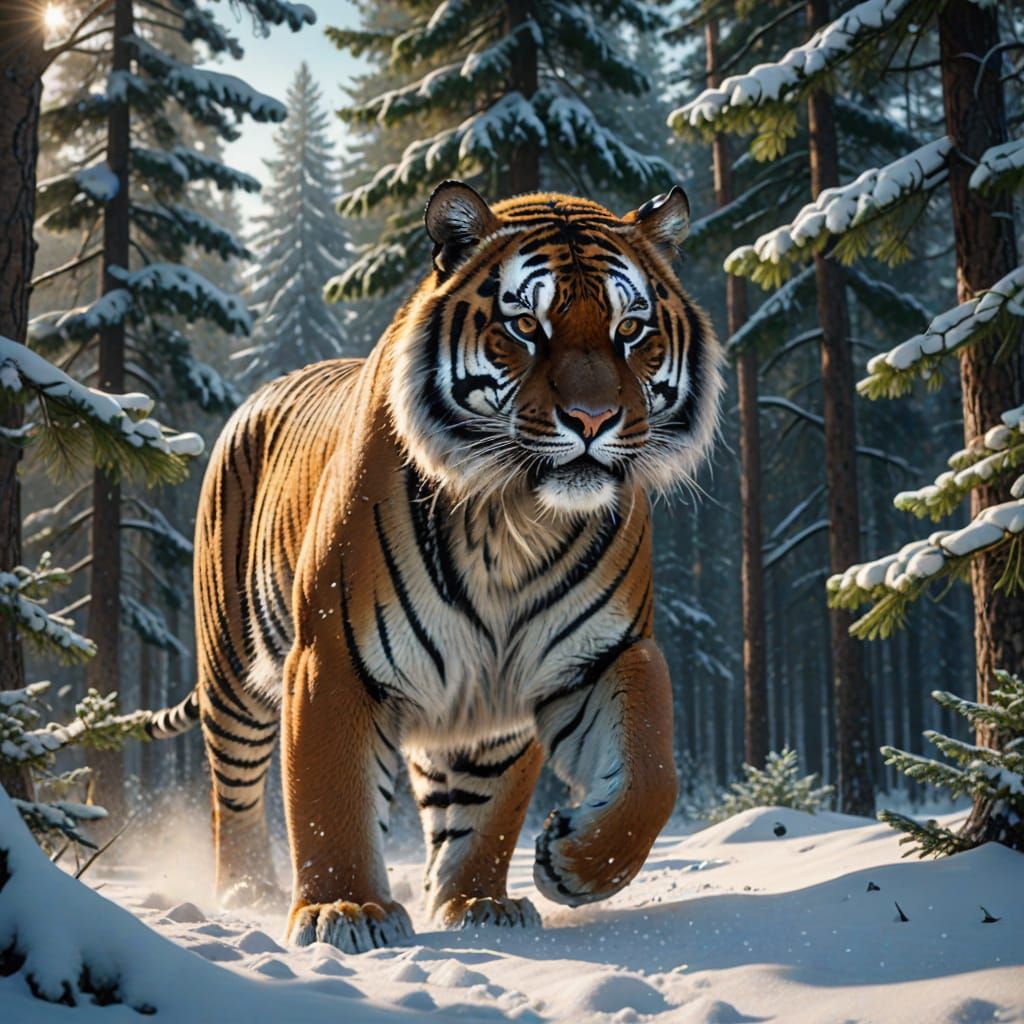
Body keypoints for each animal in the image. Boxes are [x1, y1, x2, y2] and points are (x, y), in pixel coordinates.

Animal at [144, 180, 723, 954]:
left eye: (630, 329)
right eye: (526, 326)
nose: (592, 419)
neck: (518, 521)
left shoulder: (595, 656)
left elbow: (646, 776)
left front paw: (539, 878)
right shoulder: (332, 661)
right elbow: (328, 797)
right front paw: (345, 910)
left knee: (461, 797)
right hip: (234, 672)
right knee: (232, 789)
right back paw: (247, 892)